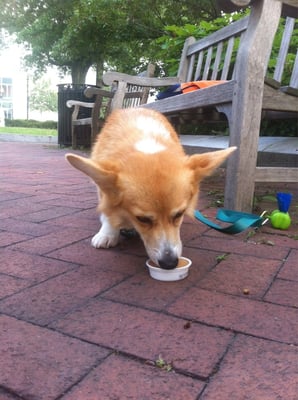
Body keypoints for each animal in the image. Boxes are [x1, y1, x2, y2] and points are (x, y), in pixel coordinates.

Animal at [65, 107, 235, 268]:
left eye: (179, 214)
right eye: (142, 219)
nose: (170, 264)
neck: (146, 143)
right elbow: (108, 213)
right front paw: (108, 233)